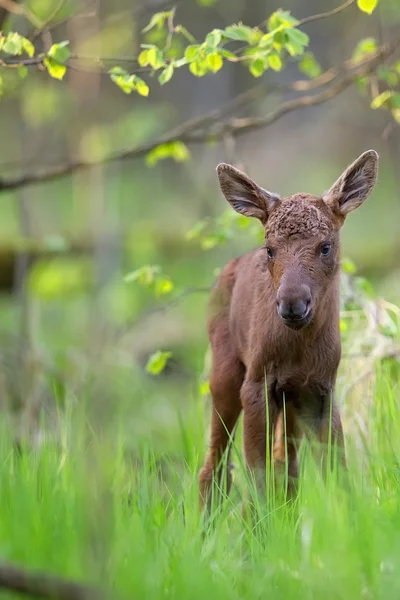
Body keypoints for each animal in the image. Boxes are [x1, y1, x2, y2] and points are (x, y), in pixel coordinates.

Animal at [199, 148, 378, 508]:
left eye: (326, 246)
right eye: (270, 249)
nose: (292, 304)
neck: (299, 348)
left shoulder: (320, 389)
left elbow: (335, 470)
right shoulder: (256, 385)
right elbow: (258, 475)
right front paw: (257, 522)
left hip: (289, 399)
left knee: (286, 464)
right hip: (226, 374)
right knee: (215, 464)